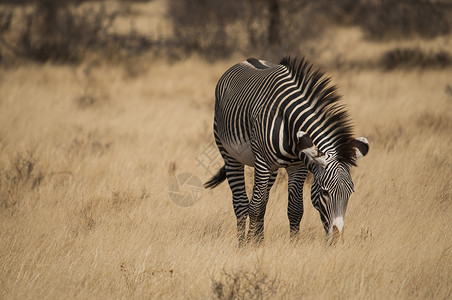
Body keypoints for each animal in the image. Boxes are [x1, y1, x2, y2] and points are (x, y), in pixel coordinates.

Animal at [205, 56, 368, 246]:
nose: (336, 241)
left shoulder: (298, 166)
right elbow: (255, 207)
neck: (290, 125)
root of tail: (248, 60)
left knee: (264, 201)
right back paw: (242, 243)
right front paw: (250, 246)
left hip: (272, 169)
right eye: (325, 192)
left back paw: (260, 240)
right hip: (229, 154)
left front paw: (293, 244)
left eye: (350, 192)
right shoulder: (262, 162)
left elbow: (295, 209)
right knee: (241, 203)